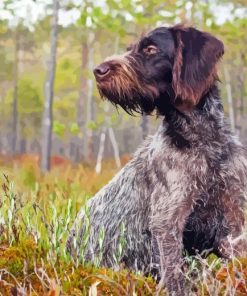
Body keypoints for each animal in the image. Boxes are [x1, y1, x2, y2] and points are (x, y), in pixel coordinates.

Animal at [67, 24, 247, 294]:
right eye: (130, 49)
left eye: (150, 49)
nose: (98, 70)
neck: (203, 141)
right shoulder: (167, 220)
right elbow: (173, 274)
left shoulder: (234, 219)